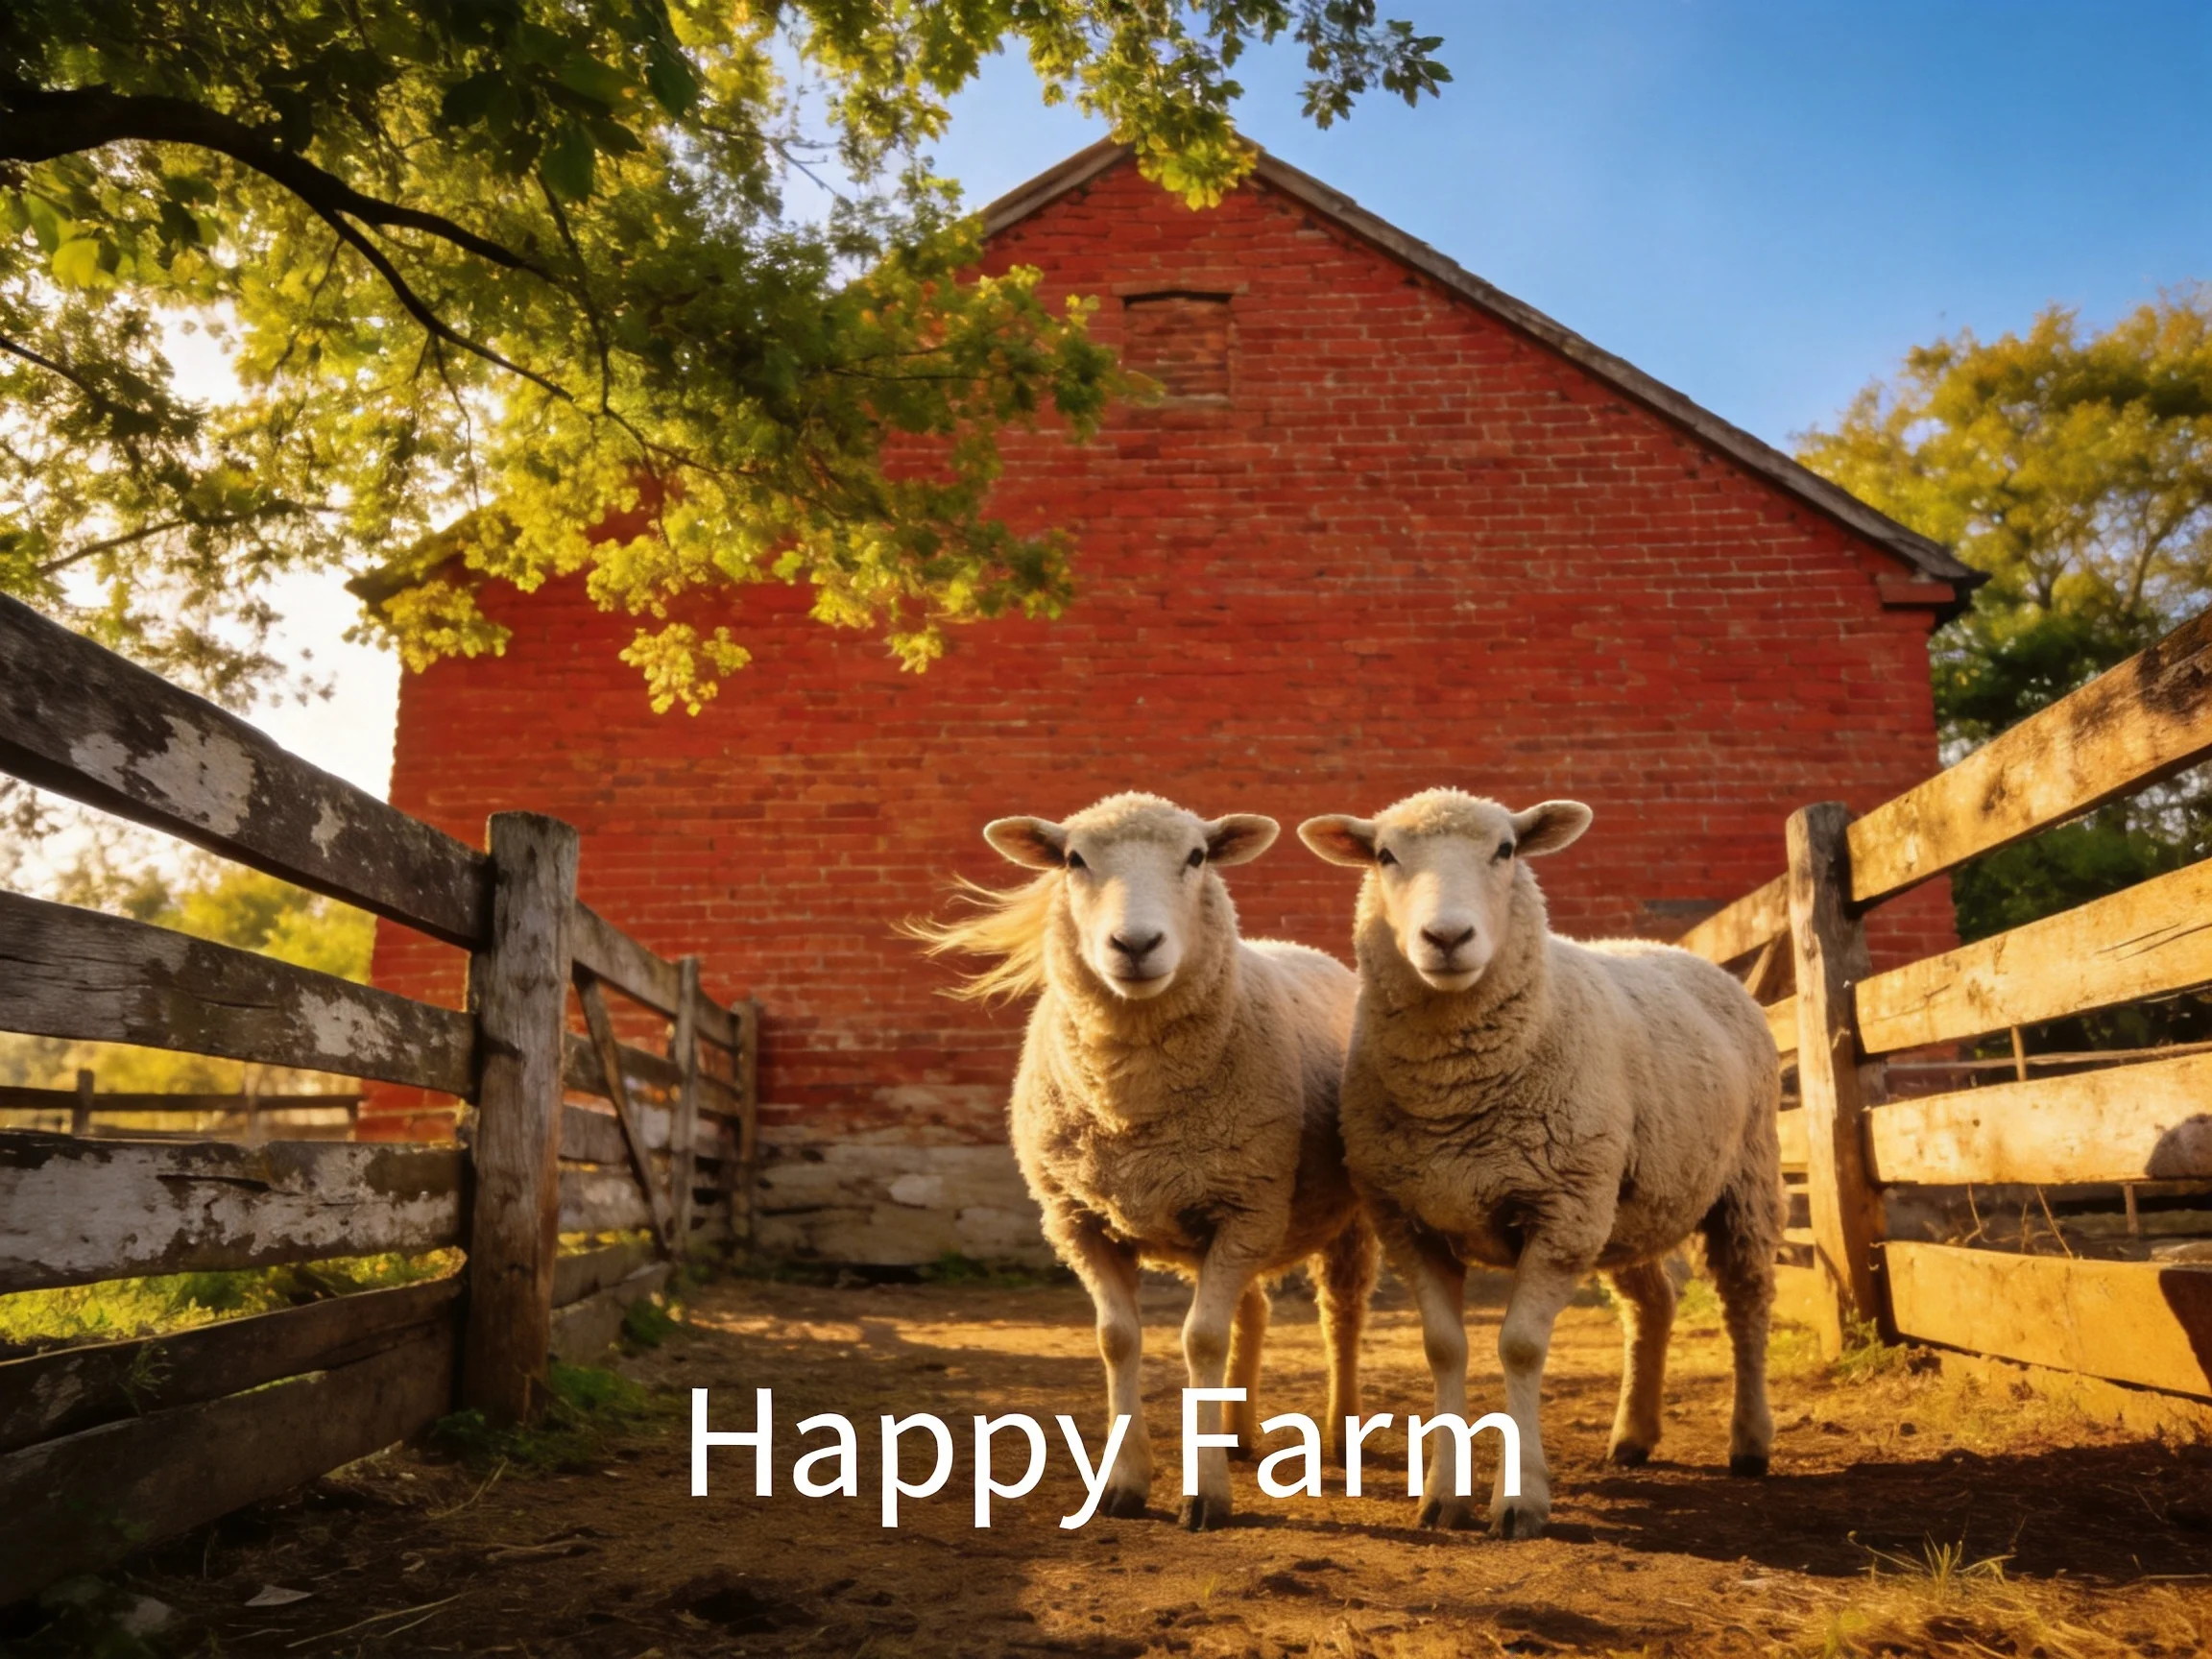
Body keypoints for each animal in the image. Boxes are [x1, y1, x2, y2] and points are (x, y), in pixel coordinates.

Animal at [910, 792, 1377, 1530]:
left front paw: (1205, 1494)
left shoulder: (1243, 1208)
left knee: (1342, 1315)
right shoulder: (1080, 1220)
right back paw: (1237, 1433)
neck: (1132, 1107)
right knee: (1253, 1310)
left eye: (1198, 856)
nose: (1134, 945)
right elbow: (1118, 1340)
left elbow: (1201, 1342)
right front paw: (1124, 1484)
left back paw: (1341, 1432)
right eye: (1074, 859)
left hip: (1334, 1218)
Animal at [1298, 789, 1782, 1539]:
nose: (1446, 937)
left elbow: (1520, 1348)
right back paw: (1634, 1435)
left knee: (1747, 1302)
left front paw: (1519, 1501)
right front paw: (1445, 1495)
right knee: (1653, 1303)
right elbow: (1445, 1348)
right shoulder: (1411, 1220)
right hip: (1619, 1205)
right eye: (1384, 855)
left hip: (1742, 1181)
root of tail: (1697, 961)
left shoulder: (1558, 1215)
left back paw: (1750, 1441)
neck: (1455, 1099)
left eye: (1506, 850)